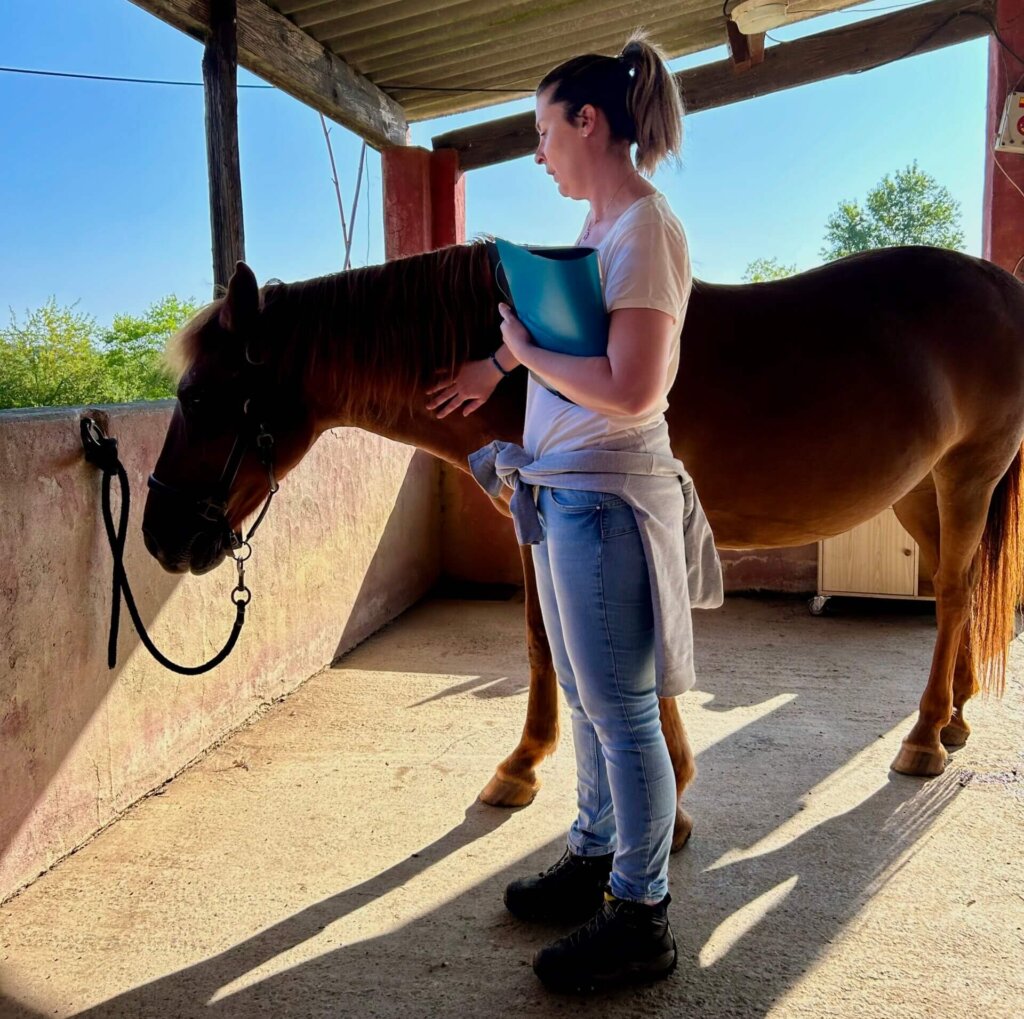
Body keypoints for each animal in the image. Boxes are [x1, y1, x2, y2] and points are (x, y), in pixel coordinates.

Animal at [142, 242, 1024, 852]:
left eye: (201, 396)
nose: (158, 536)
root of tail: (998, 285)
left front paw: (668, 804)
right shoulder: (538, 521)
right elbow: (543, 639)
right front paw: (524, 765)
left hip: (969, 470)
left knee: (952, 591)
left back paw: (923, 737)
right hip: (918, 488)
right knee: (956, 582)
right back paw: (955, 715)